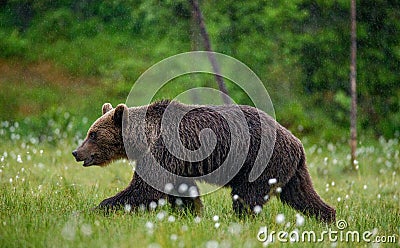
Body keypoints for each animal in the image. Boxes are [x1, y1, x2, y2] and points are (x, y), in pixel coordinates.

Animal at [72, 100, 338, 223]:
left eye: (93, 134)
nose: (76, 152)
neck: (144, 138)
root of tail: (297, 141)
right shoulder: (175, 164)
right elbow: (181, 190)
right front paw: (193, 212)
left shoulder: (162, 152)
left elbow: (144, 189)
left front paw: (97, 208)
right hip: (290, 169)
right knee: (301, 194)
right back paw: (328, 217)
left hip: (261, 164)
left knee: (247, 197)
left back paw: (242, 220)